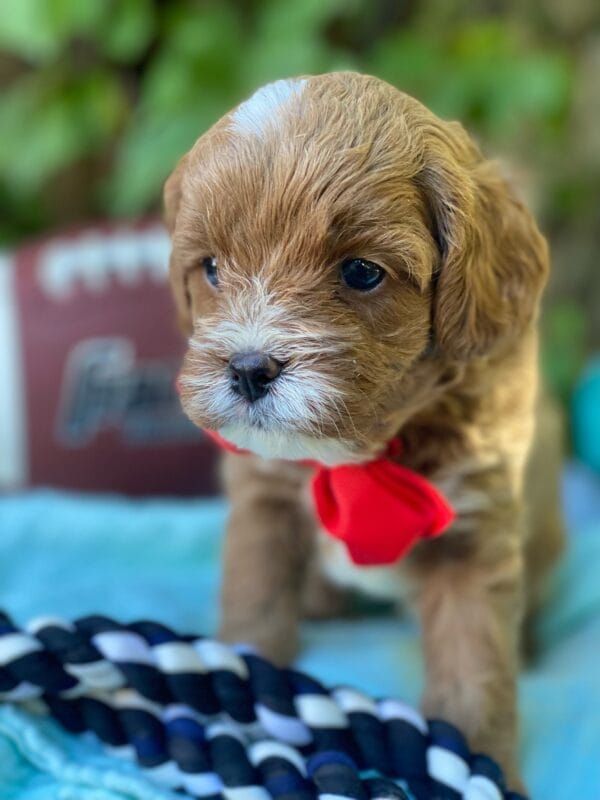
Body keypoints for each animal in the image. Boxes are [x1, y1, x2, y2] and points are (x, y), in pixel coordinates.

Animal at [164, 70, 564, 788]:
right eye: (211, 268)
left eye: (361, 273)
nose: (248, 369)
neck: (363, 452)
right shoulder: (263, 499)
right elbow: (255, 597)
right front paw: (243, 687)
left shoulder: (476, 535)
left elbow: (477, 665)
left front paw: (480, 764)